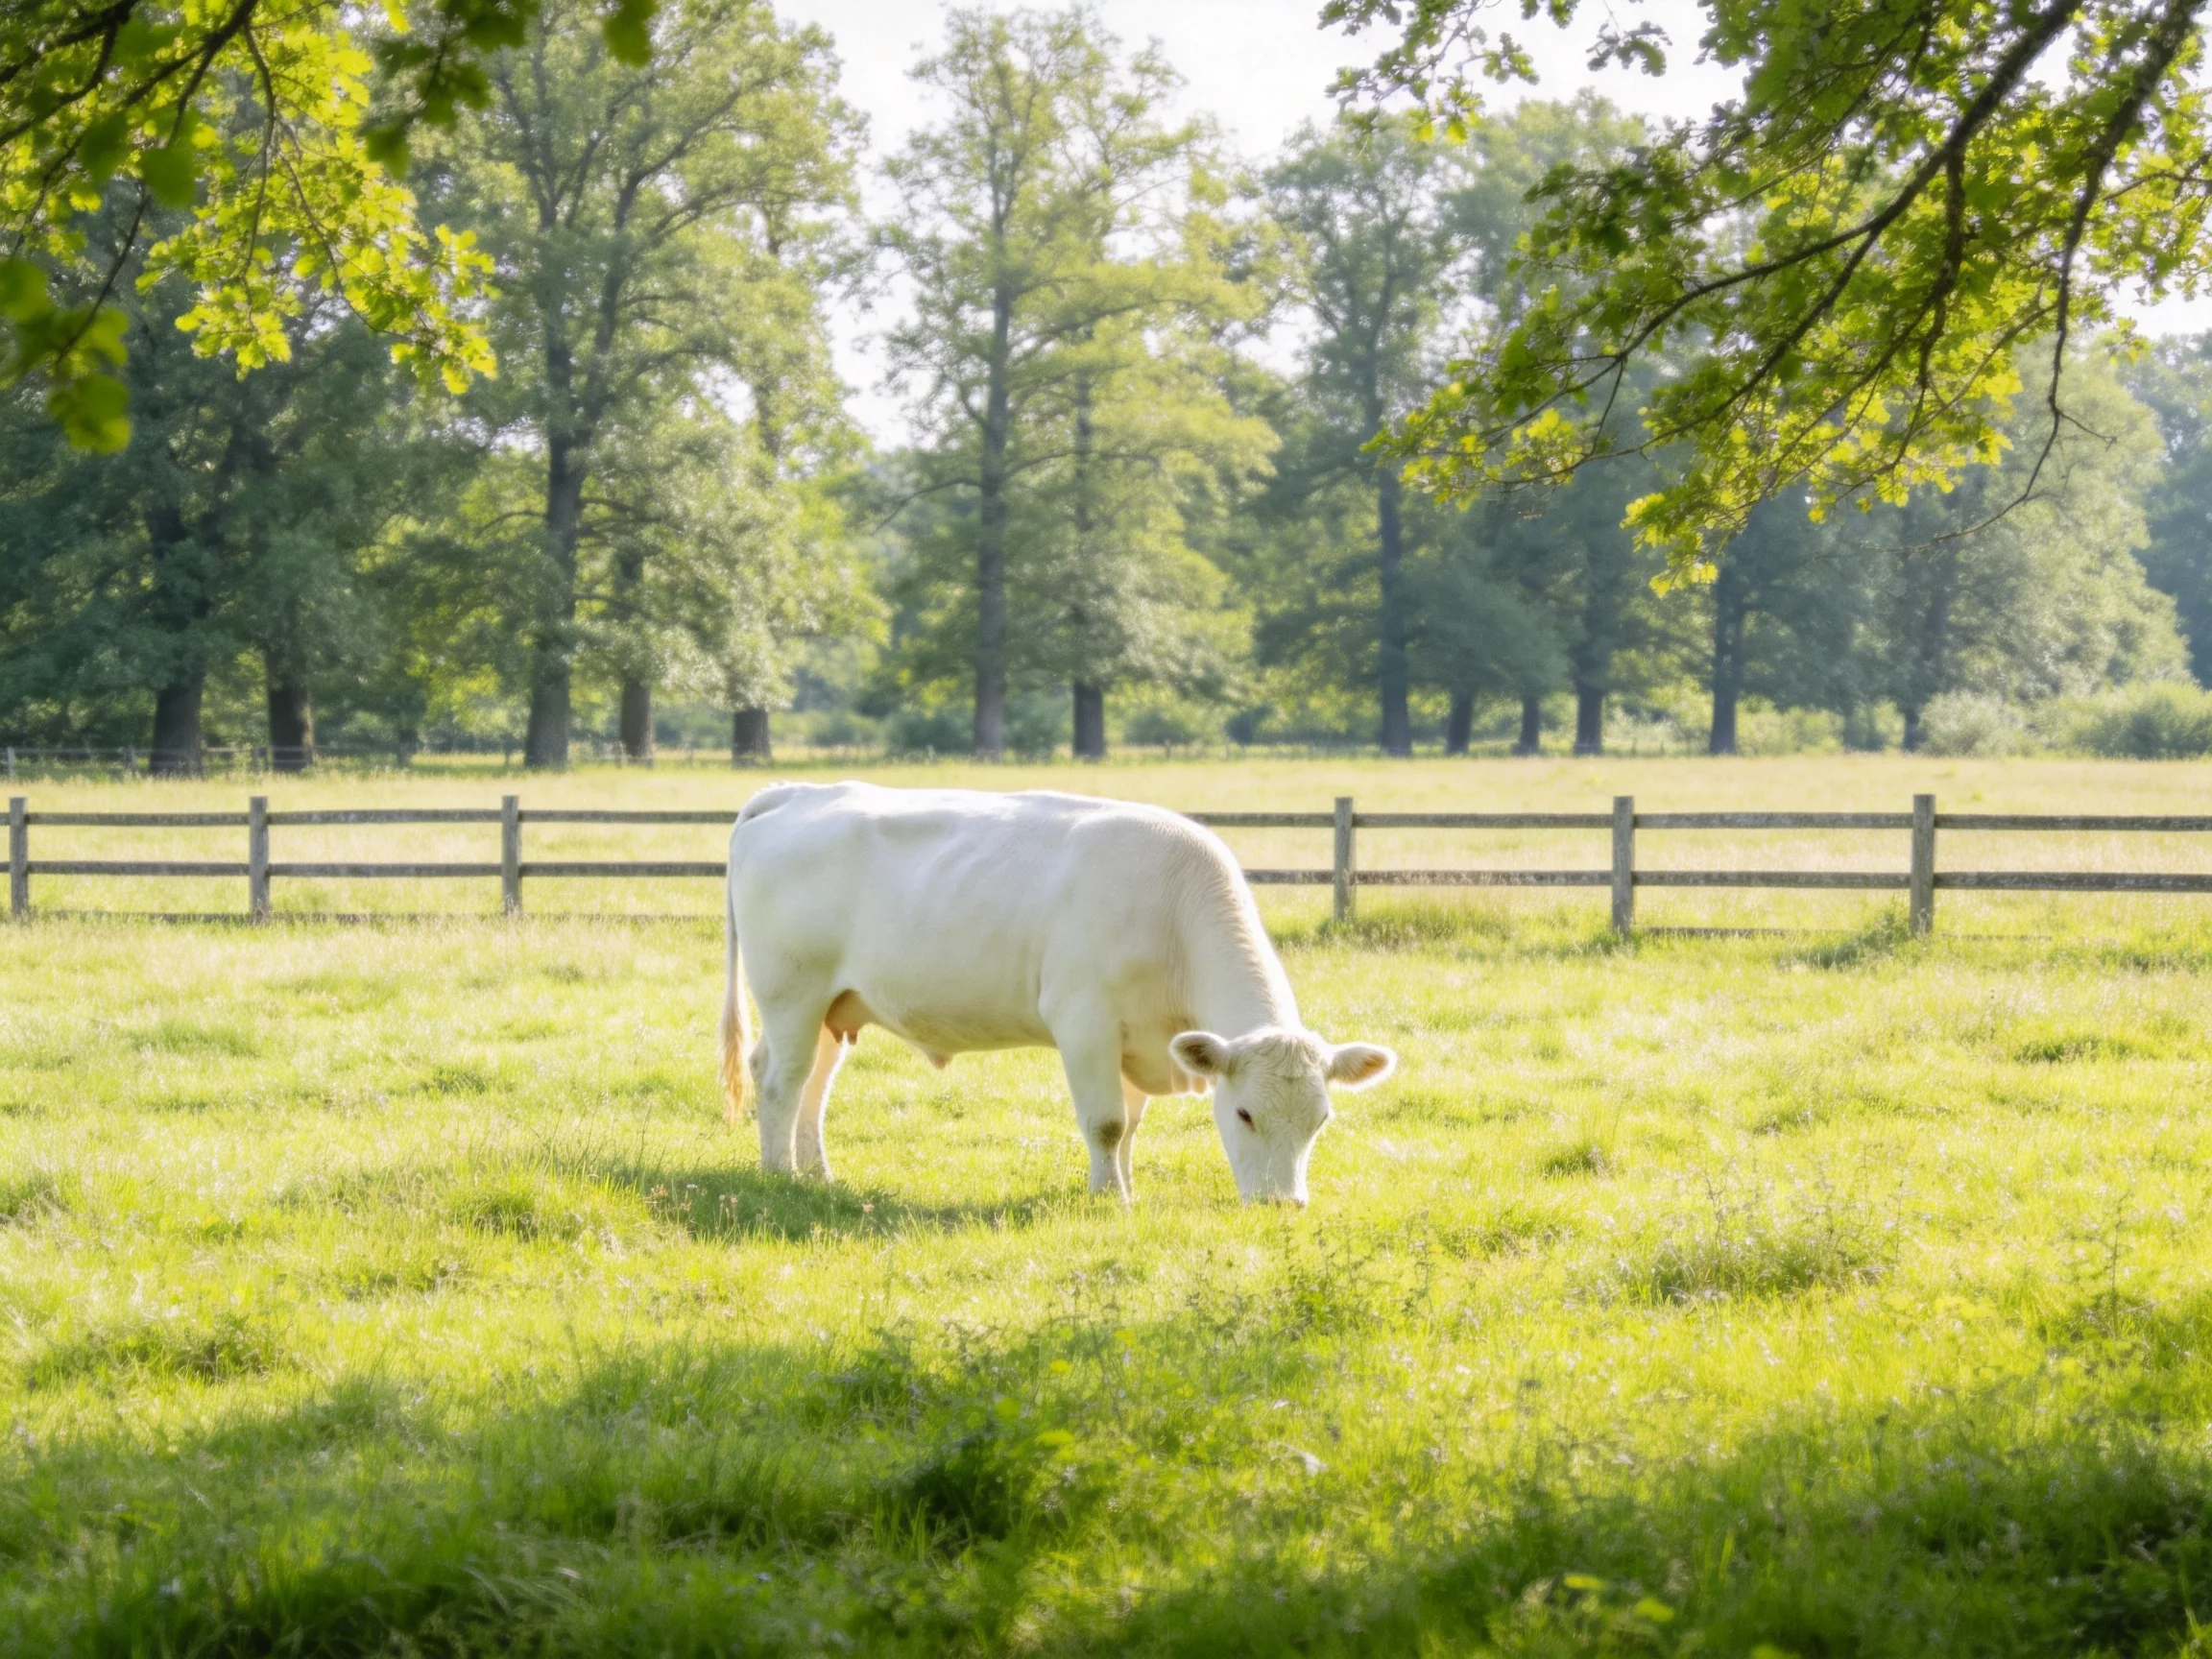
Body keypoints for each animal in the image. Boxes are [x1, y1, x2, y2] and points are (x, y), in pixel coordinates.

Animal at [719, 781, 1396, 1205]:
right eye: (1244, 1113)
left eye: (1321, 1118)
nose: (1284, 1205)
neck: (1172, 914)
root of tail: (793, 792)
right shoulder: (1084, 1020)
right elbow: (1106, 1122)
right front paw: (1110, 1199)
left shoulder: (1142, 1038)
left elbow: (1131, 1124)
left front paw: (1124, 1185)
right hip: (791, 994)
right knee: (780, 1079)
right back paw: (780, 1174)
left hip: (836, 1004)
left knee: (814, 1083)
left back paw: (817, 1177)